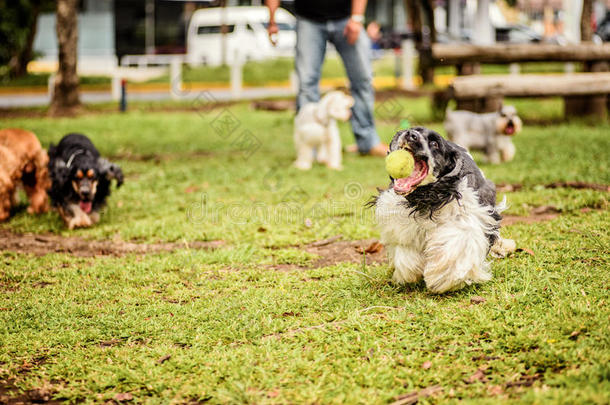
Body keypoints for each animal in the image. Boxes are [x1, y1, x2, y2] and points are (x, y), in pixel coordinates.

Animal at [370, 124, 512, 292]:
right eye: (413, 129)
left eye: (434, 143)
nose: (411, 134)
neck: (425, 197)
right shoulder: (400, 222)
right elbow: (406, 251)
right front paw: (409, 272)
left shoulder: (465, 220)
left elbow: (455, 248)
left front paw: (442, 278)